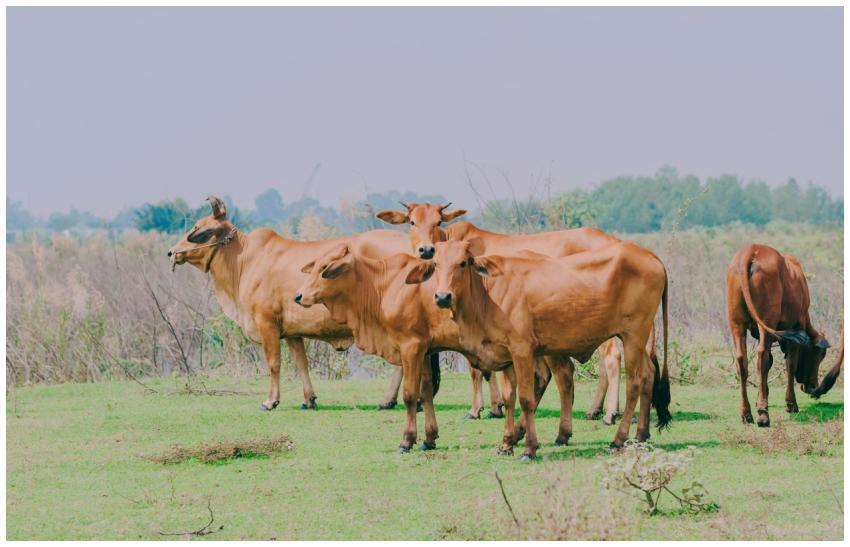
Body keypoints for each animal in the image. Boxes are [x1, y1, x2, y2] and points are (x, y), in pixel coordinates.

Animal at [168, 195, 434, 411]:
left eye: (199, 231)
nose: (172, 252)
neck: (245, 260)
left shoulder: (267, 323)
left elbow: (274, 363)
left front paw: (270, 401)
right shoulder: (292, 331)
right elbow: (301, 364)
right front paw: (309, 399)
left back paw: (395, 400)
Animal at [293, 245, 558, 454]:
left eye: (324, 268)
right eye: (314, 266)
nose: (298, 295)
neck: (383, 284)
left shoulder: (411, 346)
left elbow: (410, 394)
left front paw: (407, 441)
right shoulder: (427, 351)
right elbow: (426, 392)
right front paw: (429, 438)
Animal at [376, 201, 647, 425]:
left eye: (438, 222)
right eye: (412, 222)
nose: (426, 250)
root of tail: (612, 240)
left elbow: (477, 369)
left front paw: (478, 409)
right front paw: (495, 407)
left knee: (612, 358)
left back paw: (610, 414)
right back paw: (596, 410)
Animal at [406, 239, 671, 459]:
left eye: (462, 263)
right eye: (436, 264)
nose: (442, 297)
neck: (488, 294)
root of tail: (652, 257)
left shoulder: (522, 351)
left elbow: (525, 399)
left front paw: (529, 448)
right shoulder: (506, 356)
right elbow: (509, 398)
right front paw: (507, 443)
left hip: (633, 336)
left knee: (634, 383)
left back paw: (618, 439)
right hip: (638, 340)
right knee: (648, 375)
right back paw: (641, 434)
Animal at [726, 243, 834, 426]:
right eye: (820, 354)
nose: (812, 387)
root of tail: (751, 250)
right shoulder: (796, 327)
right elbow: (790, 364)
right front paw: (791, 403)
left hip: (736, 324)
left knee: (742, 360)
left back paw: (746, 413)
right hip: (766, 322)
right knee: (761, 357)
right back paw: (763, 414)